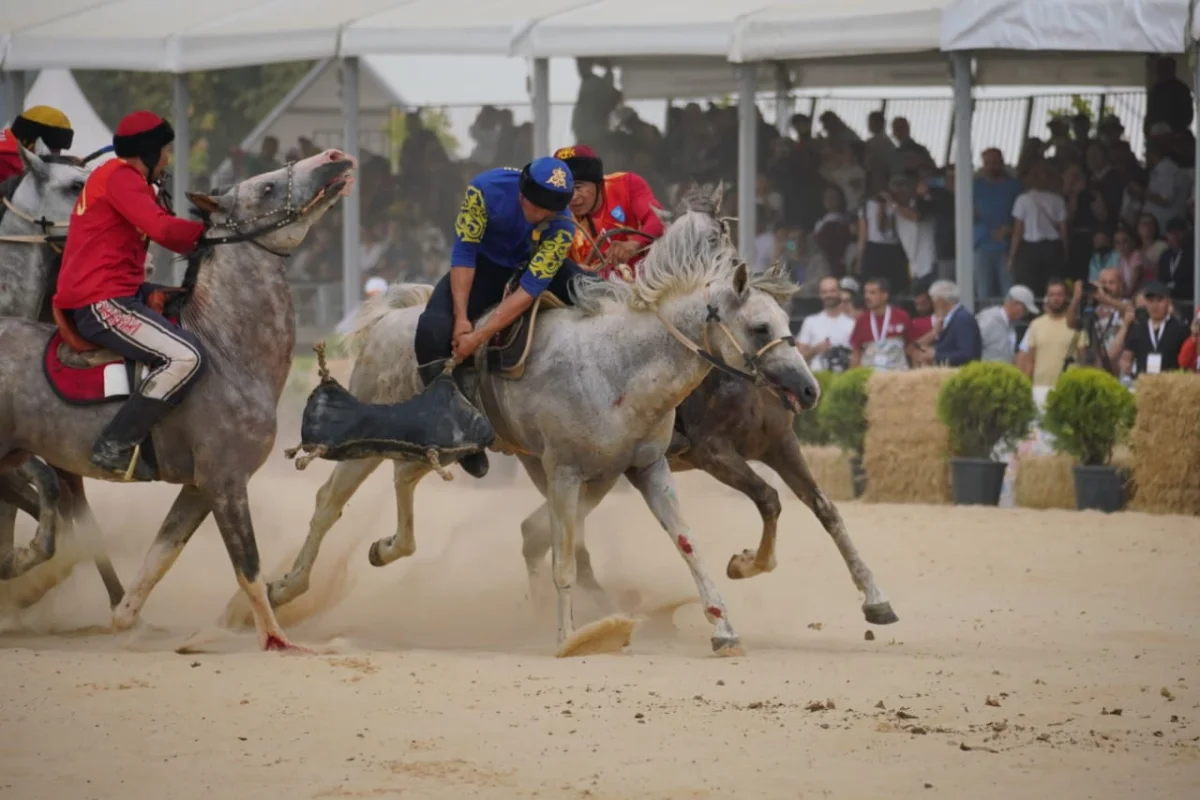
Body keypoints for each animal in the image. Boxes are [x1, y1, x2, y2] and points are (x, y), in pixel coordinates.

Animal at [0, 149, 355, 652]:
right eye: (266, 187)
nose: (333, 157)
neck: (227, 349)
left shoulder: (198, 489)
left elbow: (158, 560)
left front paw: (126, 619)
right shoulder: (225, 483)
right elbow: (248, 566)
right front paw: (276, 639)